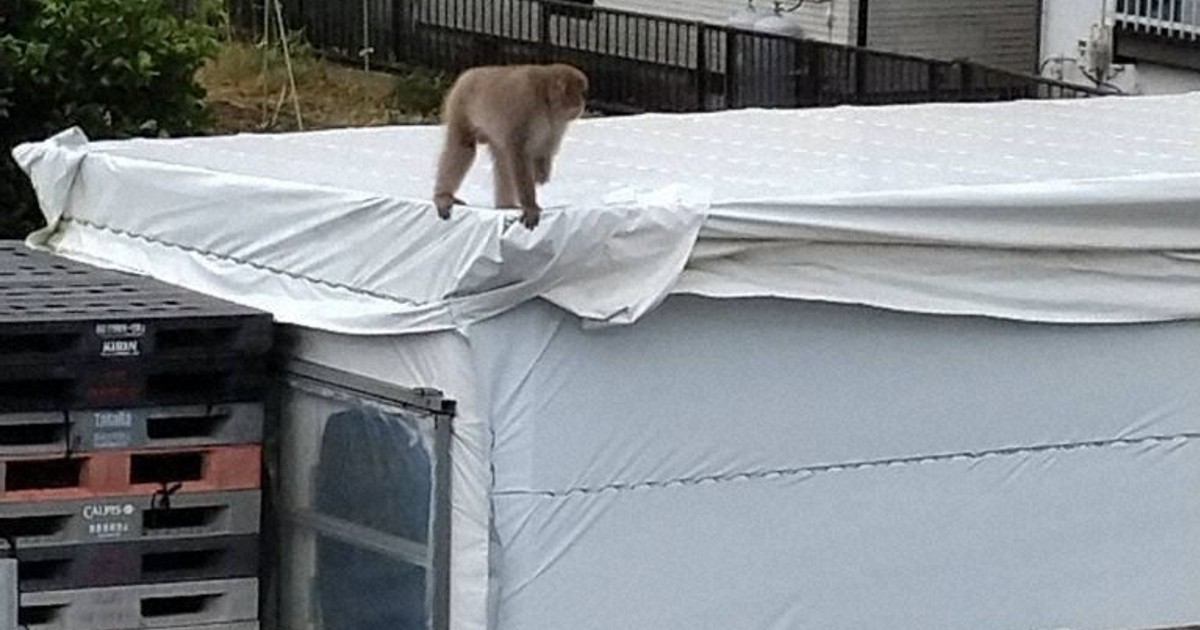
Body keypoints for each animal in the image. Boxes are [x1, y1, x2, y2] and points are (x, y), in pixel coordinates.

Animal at [433, 63, 589, 230]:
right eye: (580, 92)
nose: (583, 103)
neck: (545, 98)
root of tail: (467, 75)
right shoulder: (525, 106)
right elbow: (519, 152)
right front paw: (530, 205)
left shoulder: (557, 122)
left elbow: (543, 149)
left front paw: (541, 173)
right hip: (459, 104)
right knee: (463, 146)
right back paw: (443, 195)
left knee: (502, 157)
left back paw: (505, 206)